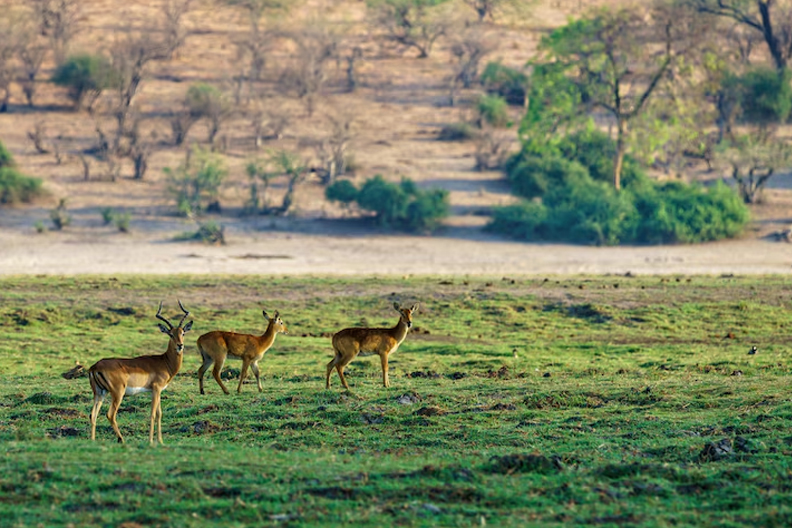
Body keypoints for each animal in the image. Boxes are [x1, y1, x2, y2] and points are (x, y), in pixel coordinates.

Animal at [88, 300, 193, 445]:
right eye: (171, 334)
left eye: (183, 333)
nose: (180, 345)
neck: (164, 361)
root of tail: (95, 367)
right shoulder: (156, 389)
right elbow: (153, 414)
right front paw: (150, 441)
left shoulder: (158, 391)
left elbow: (159, 414)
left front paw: (160, 441)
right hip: (117, 393)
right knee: (110, 415)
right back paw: (121, 439)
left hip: (99, 393)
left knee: (93, 414)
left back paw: (93, 441)